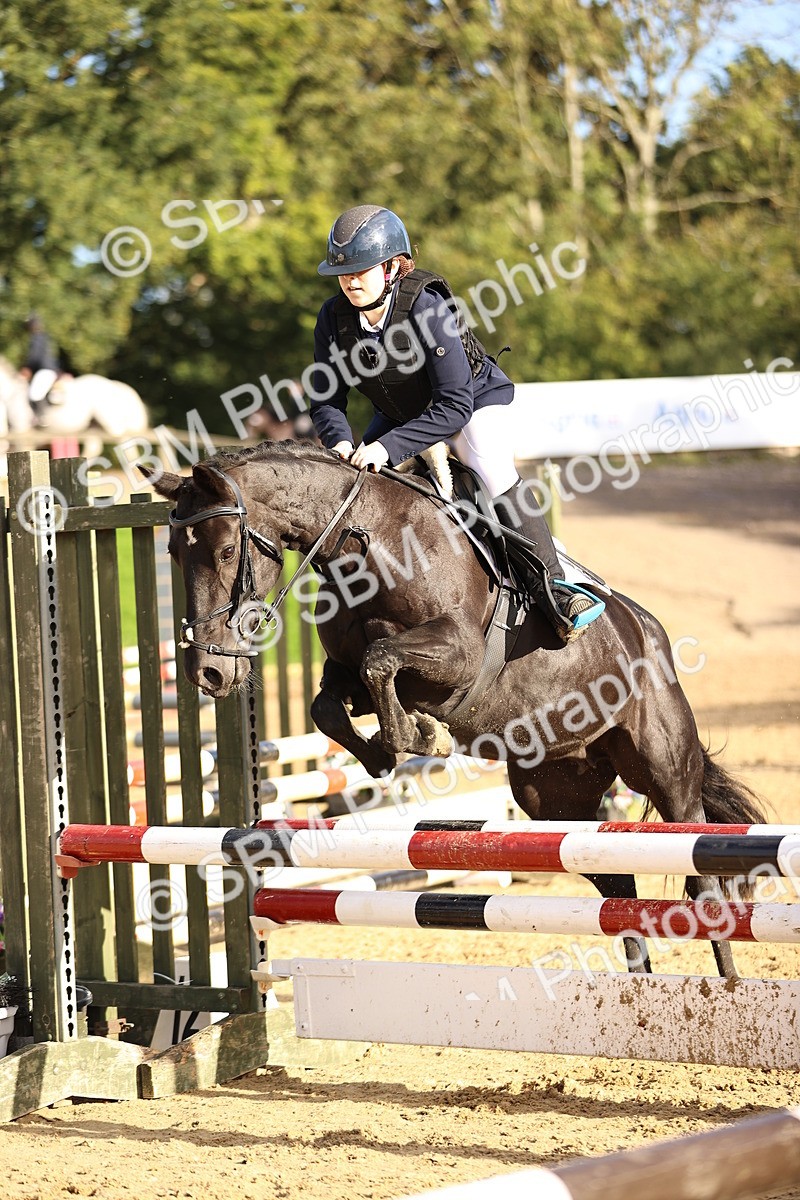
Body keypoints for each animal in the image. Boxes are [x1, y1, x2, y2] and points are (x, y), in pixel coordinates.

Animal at [146, 440, 766, 982]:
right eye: (173, 553)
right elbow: (332, 701)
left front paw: (421, 736)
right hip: (555, 798)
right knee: (617, 892)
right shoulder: (347, 674)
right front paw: (386, 751)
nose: (208, 673)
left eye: (227, 551)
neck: (369, 543)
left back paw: (727, 989)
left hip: (664, 771)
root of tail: (648, 630)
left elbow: (380, 660)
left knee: (701, 881)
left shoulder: (458, 655)